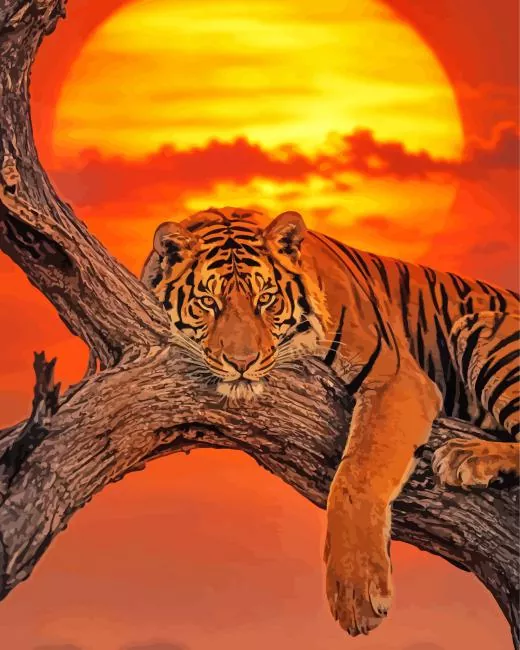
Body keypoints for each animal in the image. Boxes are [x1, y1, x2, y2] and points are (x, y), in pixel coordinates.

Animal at [141, 206, 520, 637]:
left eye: (265, 299)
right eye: (207, 301)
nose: (242, 363)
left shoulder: (397, 378)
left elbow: (358, 473)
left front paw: (356, 593)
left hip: (485, 328)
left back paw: (468, 458)